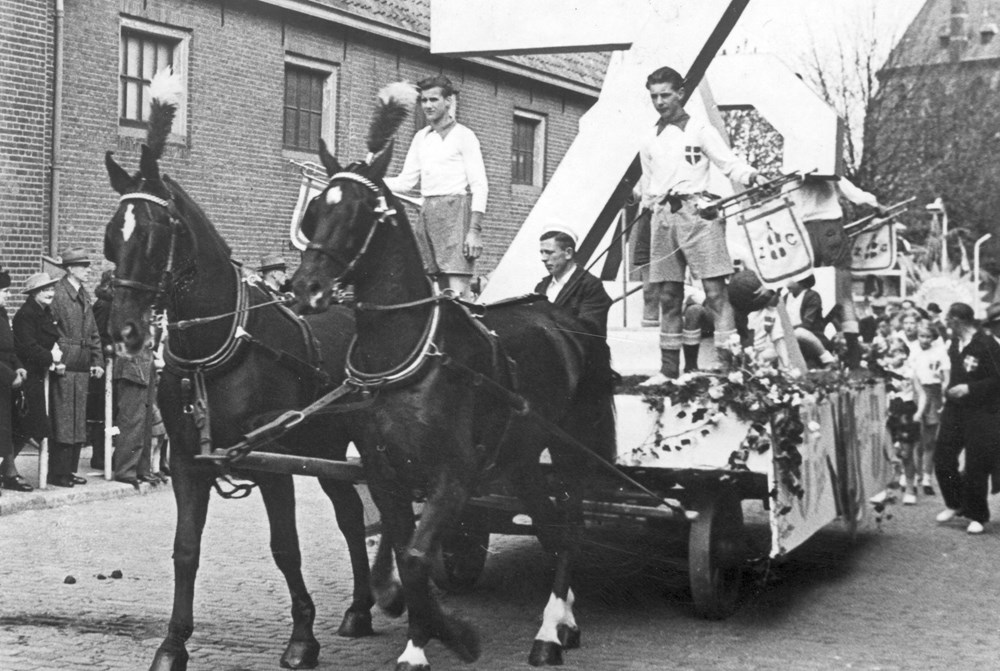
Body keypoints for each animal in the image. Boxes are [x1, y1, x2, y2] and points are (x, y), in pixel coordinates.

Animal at [102, 75, 378, 671]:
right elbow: (185, 550)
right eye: (113, 235)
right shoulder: (188, 462)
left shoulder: (270, 463)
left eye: (154, 234)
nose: (125, 332)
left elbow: (285, 547)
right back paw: (361, 607)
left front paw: (302, 637)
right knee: (351, 515)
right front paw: (172, 644)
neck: (215, 352)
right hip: (326, 450)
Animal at [290, 90, 616, 671]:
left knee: (571, 527)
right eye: (314, 211)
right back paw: (564, 620)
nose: (306, 288)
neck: (406, 354)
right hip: (522, 456)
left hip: (570, 449)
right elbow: (403, 552)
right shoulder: (385, 474)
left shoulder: (453, 474)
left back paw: (549, 632)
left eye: (357, 212)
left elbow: (419, 554)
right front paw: (419, 629)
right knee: (549, 526)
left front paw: (443, 638)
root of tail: (560, 316)